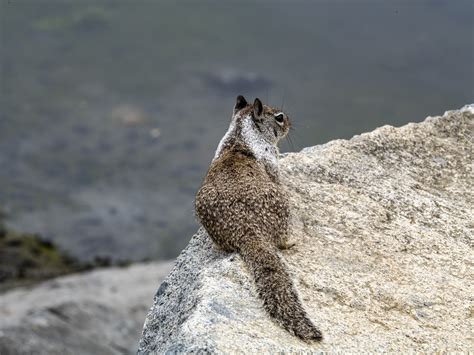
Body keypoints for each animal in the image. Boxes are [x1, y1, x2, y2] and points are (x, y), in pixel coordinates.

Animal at [193, 94, 322, 342]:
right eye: (279, 117)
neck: (240, 134)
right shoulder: (272, 162)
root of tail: (248, 231)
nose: (290, 123)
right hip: (282, 207)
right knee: (283, 240)